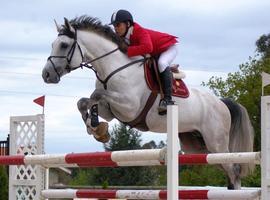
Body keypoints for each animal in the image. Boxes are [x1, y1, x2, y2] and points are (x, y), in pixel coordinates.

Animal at [41, 16, 254, 189]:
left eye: (63, 45)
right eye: (52, 44)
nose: (46, 75)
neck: (113, 67)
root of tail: (221, 103)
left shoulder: (128, 107)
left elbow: (98, 94)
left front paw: (96, 127)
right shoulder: (111, 111)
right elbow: (84, 102)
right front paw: (97, 128)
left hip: (216, 142)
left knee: (234, 170)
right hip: (197, 145)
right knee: (226, 169)